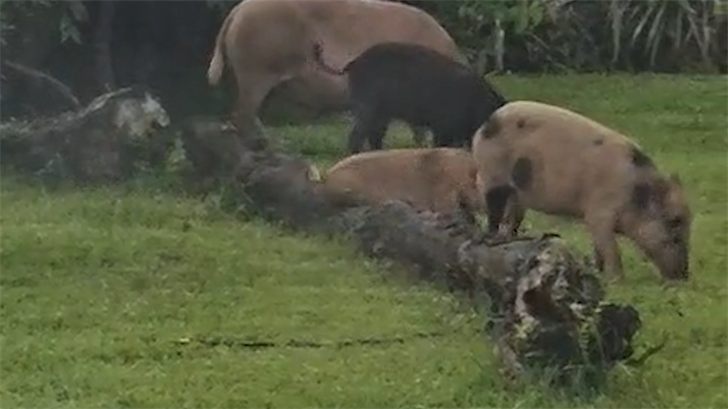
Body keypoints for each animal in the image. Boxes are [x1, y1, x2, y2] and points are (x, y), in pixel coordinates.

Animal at [312, 41, 508, 154]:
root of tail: (353, 63)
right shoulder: (443, 127)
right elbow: (442, 144)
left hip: (382, 115)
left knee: (374, 135)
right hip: (368, 109)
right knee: (357, 135)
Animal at [471, 100, 692, 282]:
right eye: (674, 224)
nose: (683, 277)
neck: (632, 194)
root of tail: (486, 124)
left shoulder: (593, 218)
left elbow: (598, 248)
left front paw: (598, 272)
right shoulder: (599, 212)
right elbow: (611, 249)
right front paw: (616, 281)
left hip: (517, 195)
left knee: (512, 218)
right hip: (492, 177)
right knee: (493, 213)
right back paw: (491, 239)